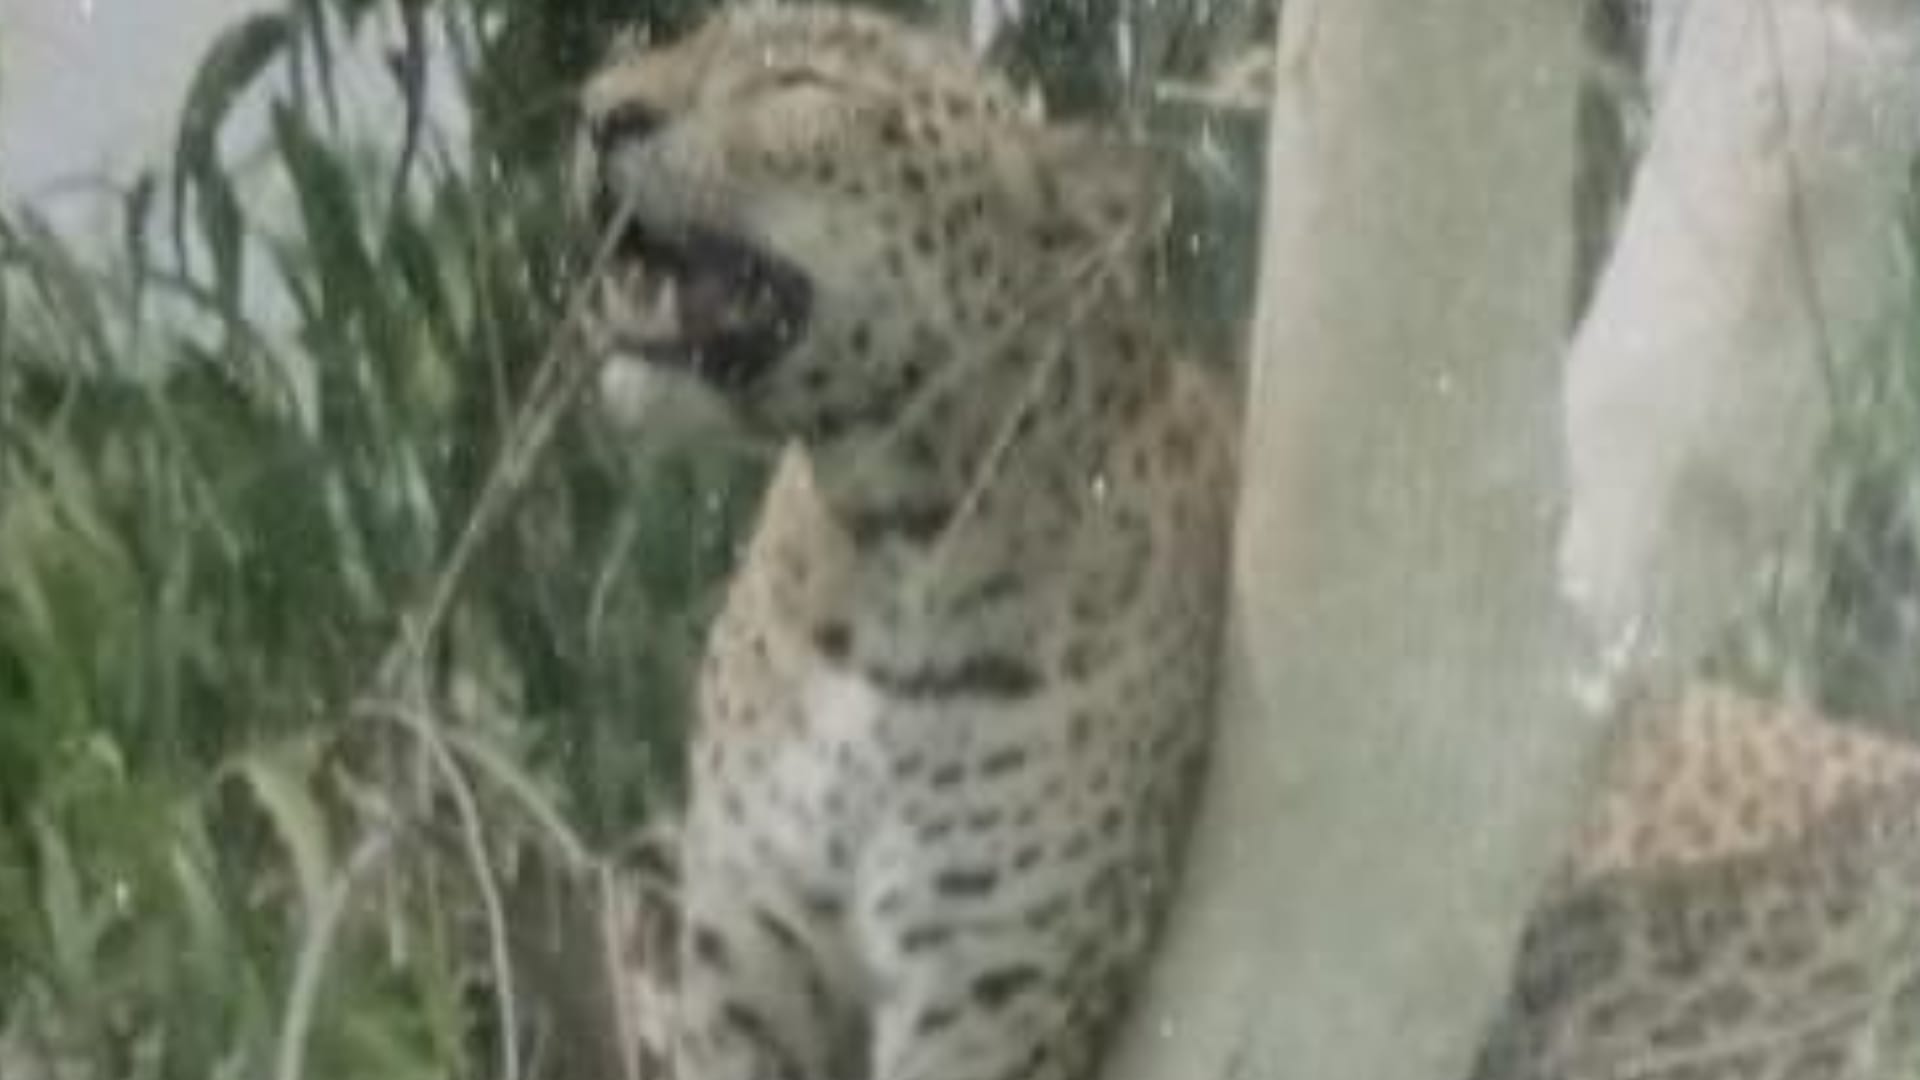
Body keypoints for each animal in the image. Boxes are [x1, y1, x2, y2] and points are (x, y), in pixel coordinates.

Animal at [576, 7, 1235, 1080]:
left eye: (800, 83)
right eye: (701, 35)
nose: (600, 111)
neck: (892, 550)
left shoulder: (992, 981)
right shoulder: (747, 948)